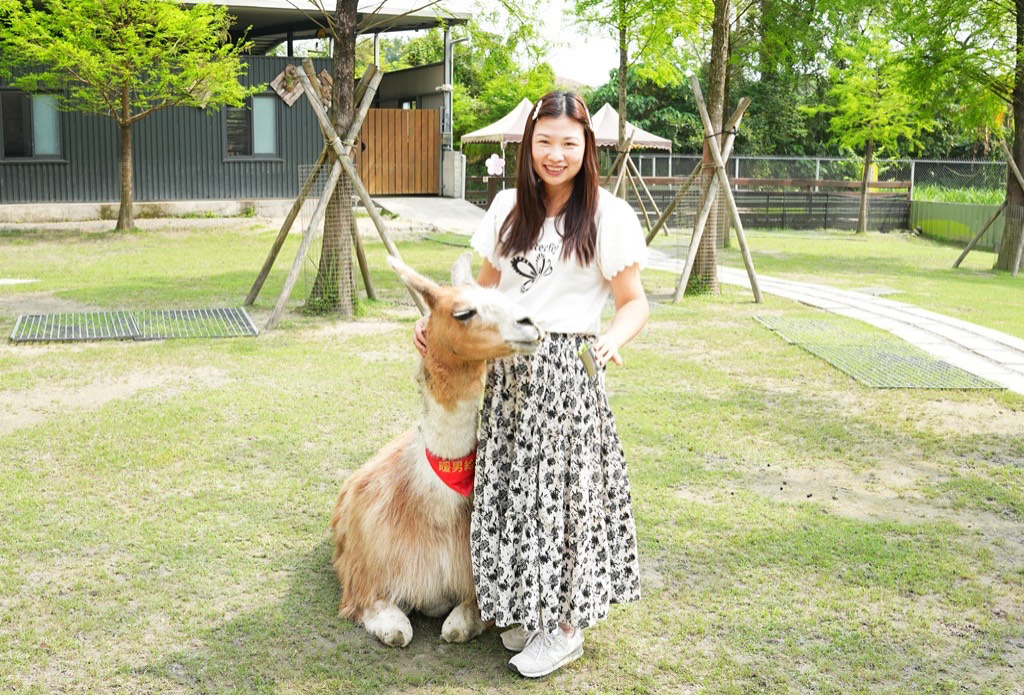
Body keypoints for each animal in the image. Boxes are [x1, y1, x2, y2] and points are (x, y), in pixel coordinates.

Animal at [333, 252, 544, 650]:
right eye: (464, 312)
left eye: (503, 296)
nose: (530, 324)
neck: (436, 510)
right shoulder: (366, 581)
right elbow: (397, 631)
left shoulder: (474, 586)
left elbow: (456, 628)